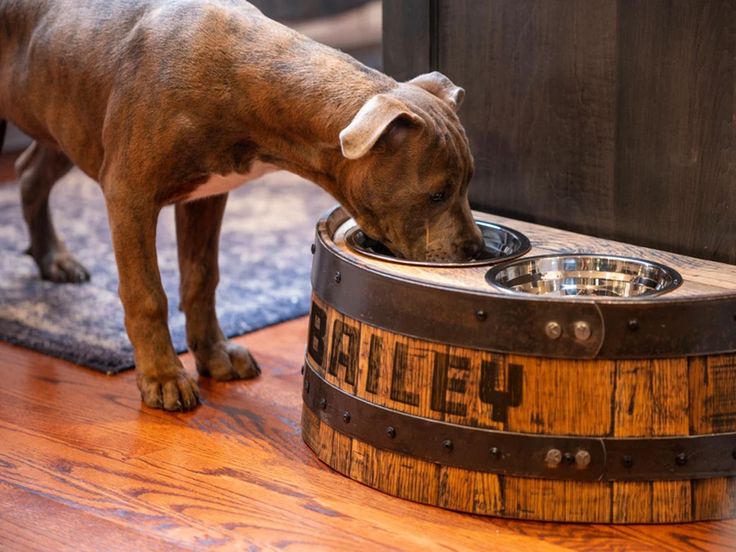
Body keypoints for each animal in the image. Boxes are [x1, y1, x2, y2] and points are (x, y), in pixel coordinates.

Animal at [0, 0, 484, 410]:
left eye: (467, 183)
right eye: (436, 194)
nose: (475, 252)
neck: (243, 79)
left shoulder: (207, 196)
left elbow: (202, 279)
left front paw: (214, 356)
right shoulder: (129, 195)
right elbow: (147, 294)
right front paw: (162, 377)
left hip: (62, 121)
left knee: (30, 173)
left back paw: (53, 259)